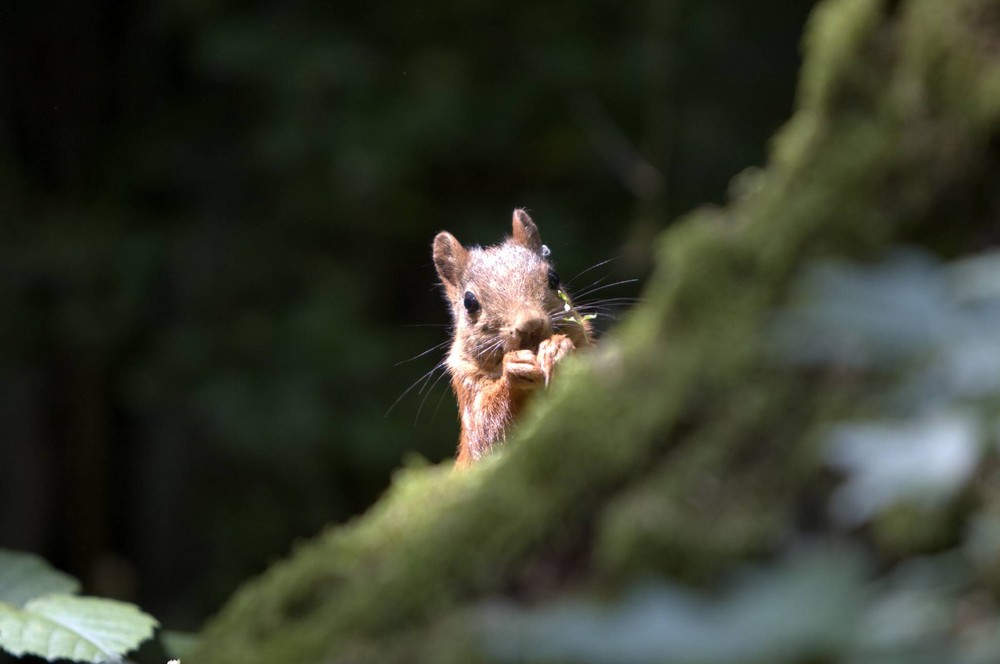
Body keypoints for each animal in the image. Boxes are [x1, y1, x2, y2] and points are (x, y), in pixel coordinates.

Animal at [432, 208, 588, 466]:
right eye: (469, 302)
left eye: (554, 278)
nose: (530, 324)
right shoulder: (467, 385)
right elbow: (486, 433)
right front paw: (513, 371)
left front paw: (556, 349)